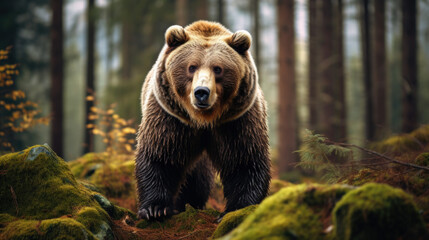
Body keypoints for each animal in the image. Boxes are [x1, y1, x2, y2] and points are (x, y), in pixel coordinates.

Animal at [136, 20, 270, 219]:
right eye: (191, 67)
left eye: (218, 68)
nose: (201, 92)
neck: (204, 120)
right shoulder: (171, 118)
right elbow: (160, 155)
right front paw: (155, 209)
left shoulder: (237, 121)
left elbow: (244, 161)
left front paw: (237, 208)